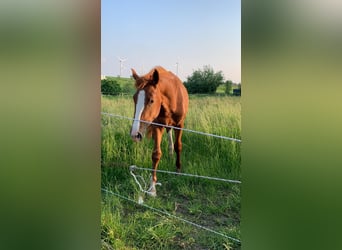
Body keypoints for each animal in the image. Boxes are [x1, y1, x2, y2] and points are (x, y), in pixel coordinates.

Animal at [130, 66, 188, 195]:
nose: (135, 134)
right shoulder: (157, 126)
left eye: (151, 100)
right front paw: (152, 188)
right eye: (134, 99)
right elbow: (156, 154)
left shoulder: (180, 125)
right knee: (168, 132)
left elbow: (178, 146)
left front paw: (178, 169)